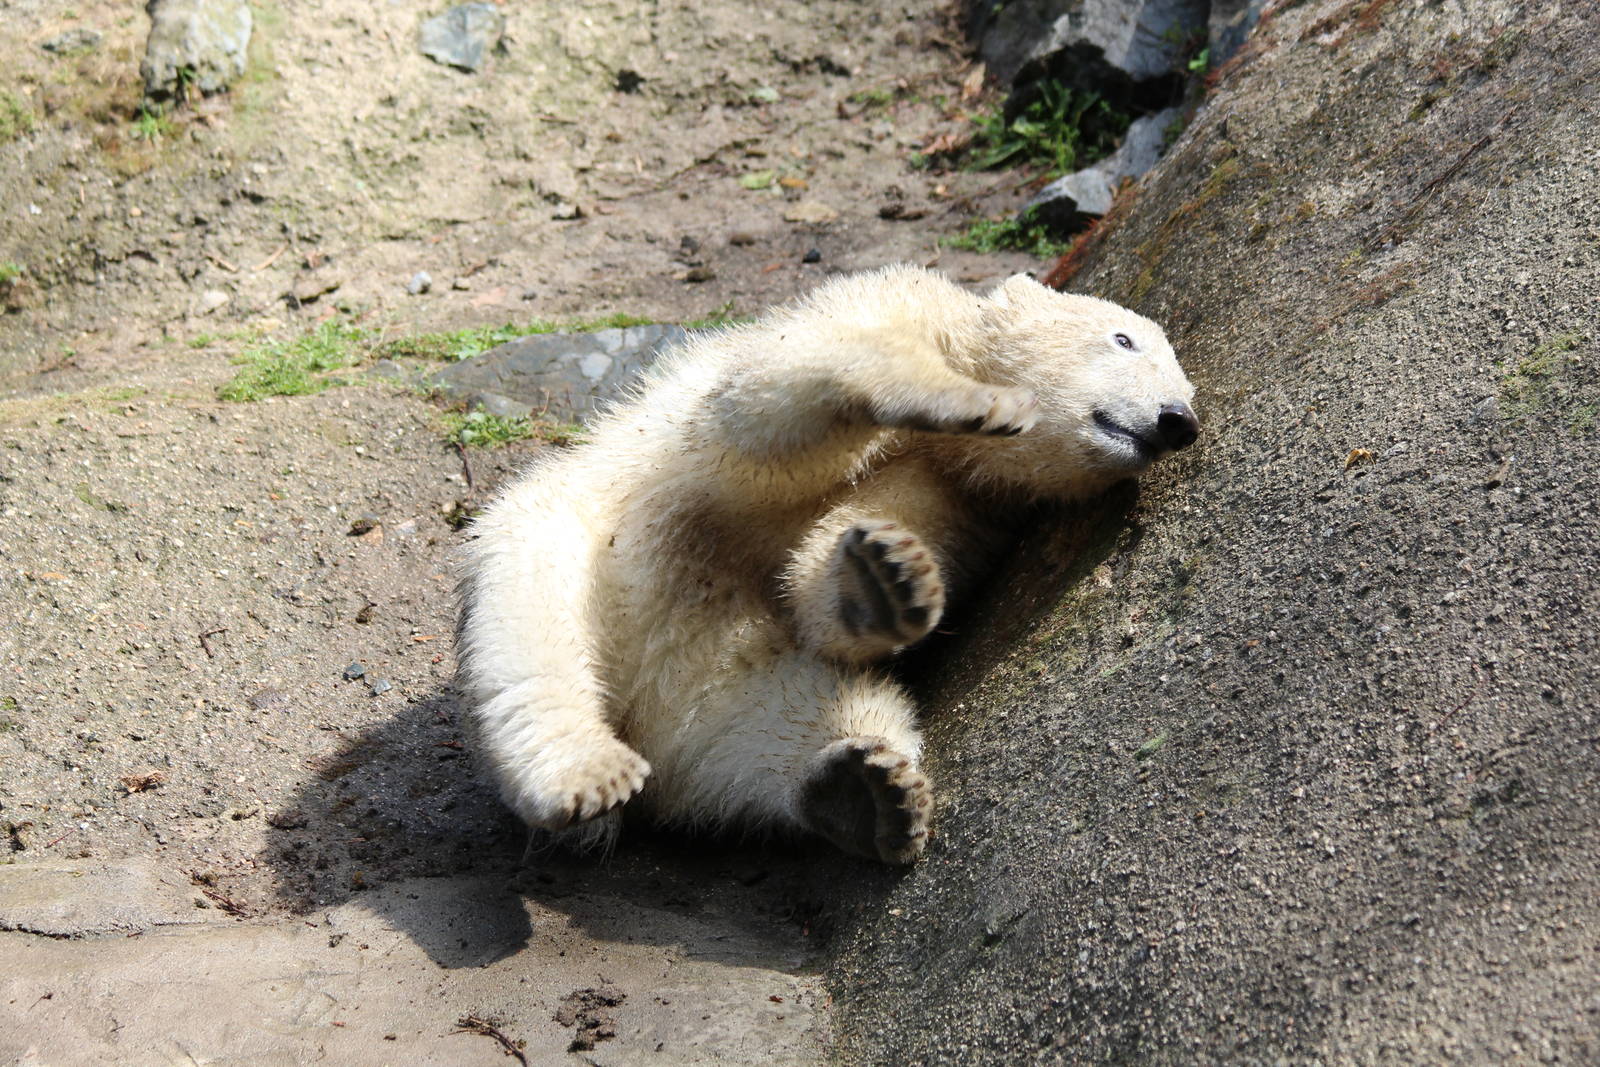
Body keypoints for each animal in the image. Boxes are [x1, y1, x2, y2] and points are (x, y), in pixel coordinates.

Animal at [455, 266, 1199, 864]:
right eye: (1124, 340)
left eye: (1185, 380)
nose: (1178, 420)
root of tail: (638, 702)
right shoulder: (875, 307)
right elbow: (759, 406)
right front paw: (964, 399)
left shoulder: (963, 498)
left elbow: (843, 559)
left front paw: (884, 582)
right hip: (565, 538)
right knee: (532, 643)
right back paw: (587, 771)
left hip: (717, 675)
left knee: (778, 719)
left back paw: (864, 793)